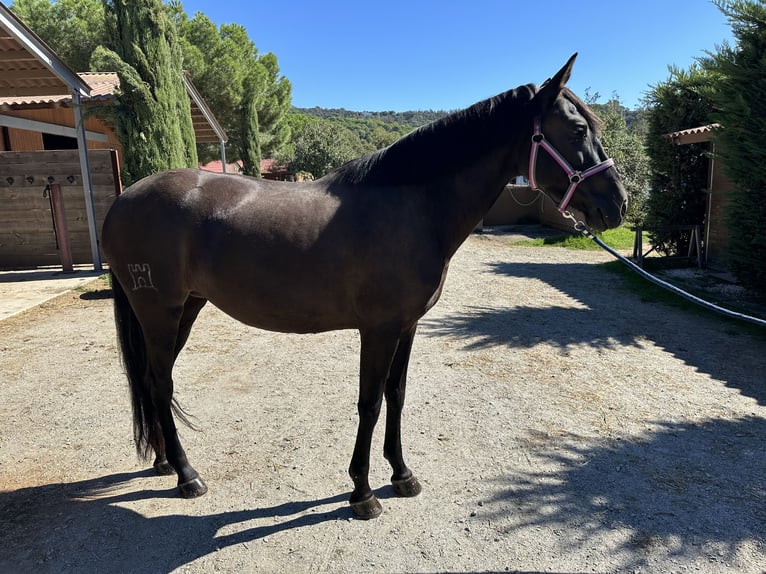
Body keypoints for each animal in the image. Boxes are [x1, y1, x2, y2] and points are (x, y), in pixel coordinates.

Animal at [103, 55, 632, 520]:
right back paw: (187, 475)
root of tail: (124, 201)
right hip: (160, 312)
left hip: (186, 309)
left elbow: (396, 395)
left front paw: (402, 475)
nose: (619, 204)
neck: (411, 206)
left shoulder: (407, 326)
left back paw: (164, 462)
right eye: (578, 130)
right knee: (161, 381)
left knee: (152, 379)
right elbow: (370, 403)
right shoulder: (377, 330)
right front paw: (362, 493)